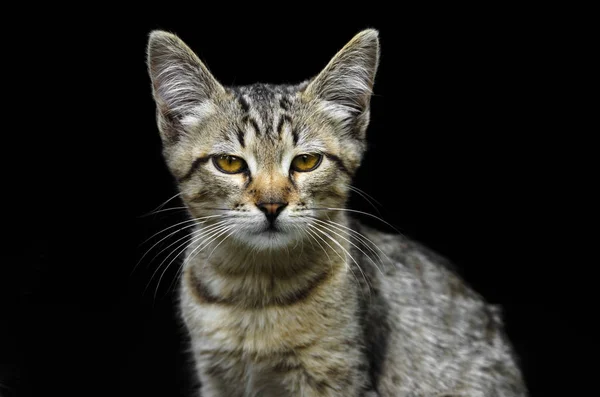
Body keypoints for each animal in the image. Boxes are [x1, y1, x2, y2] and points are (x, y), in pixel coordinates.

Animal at [148, 28, 528, 396]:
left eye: (306, 161)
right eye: (229, 163)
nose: (272, 204)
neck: (254, 295)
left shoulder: (340, 375)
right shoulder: (215, 377)